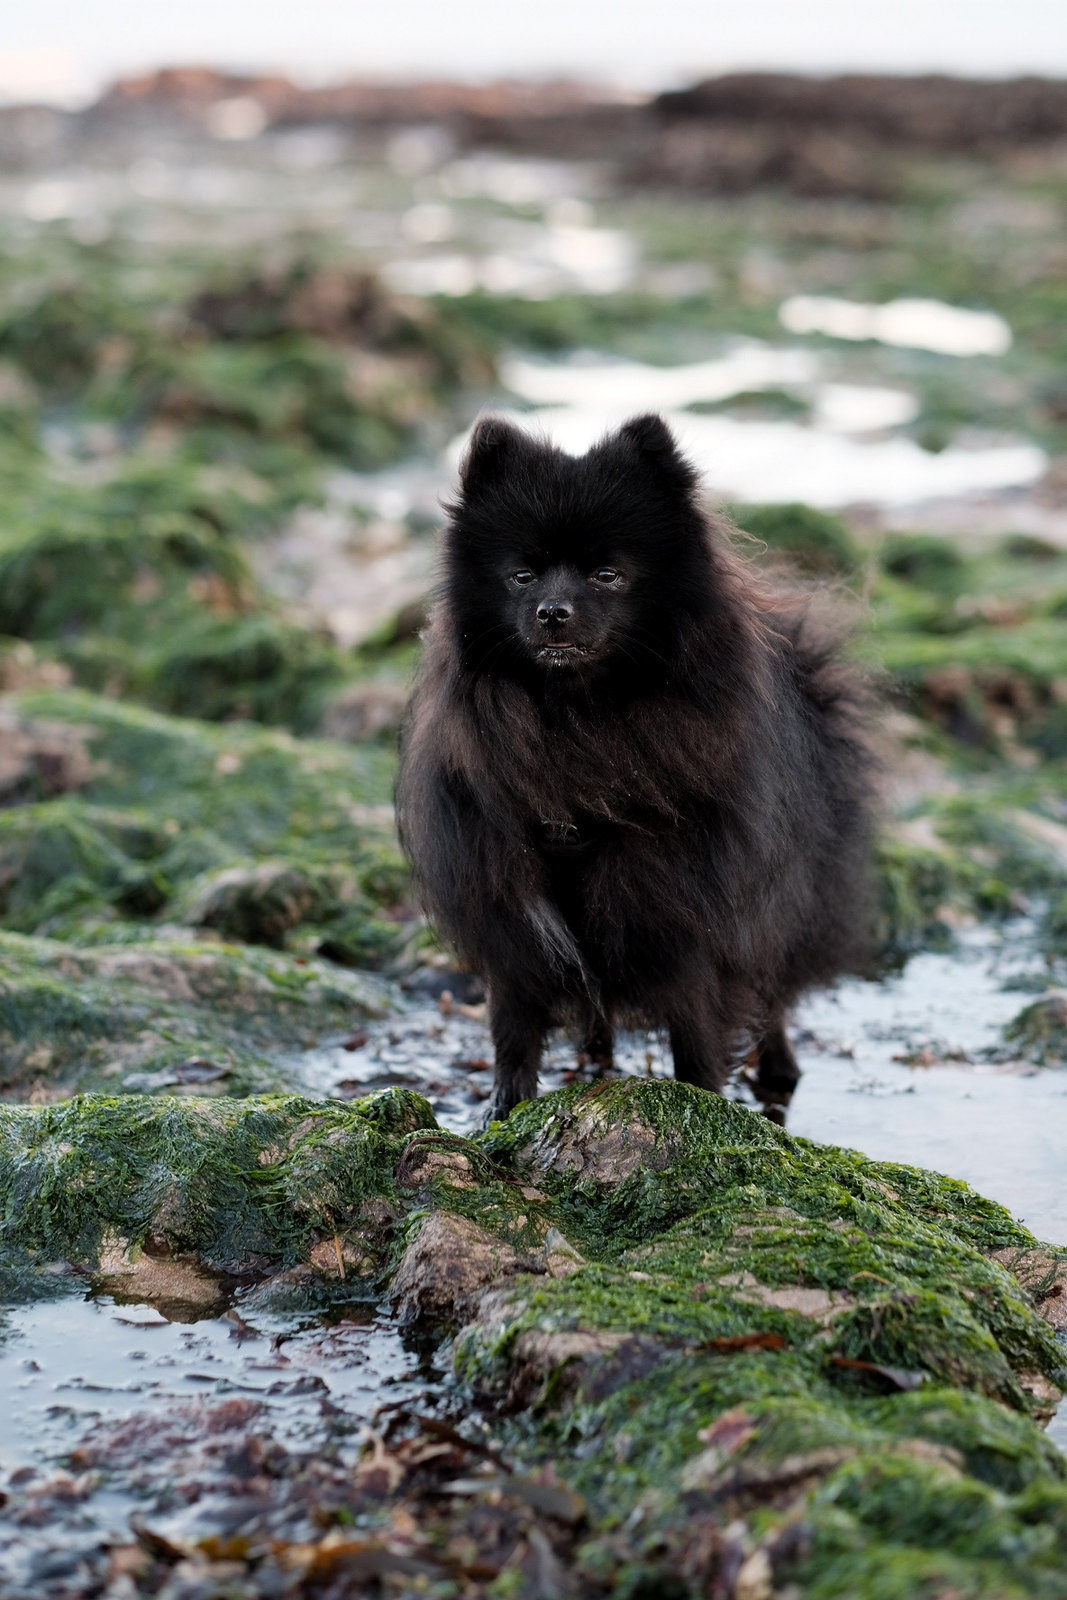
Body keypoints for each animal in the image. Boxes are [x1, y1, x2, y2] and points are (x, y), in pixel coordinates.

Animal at [396, 412, 870, 1126]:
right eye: (522, 577)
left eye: (607, 575)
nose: (553, 612)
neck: (576, 722)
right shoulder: (511, 914)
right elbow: (513, 1031)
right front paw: (502, 1114)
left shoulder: (691, 924)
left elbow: (698, 1037)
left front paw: (704, 1110)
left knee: (773, 998)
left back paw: (779, 1072)